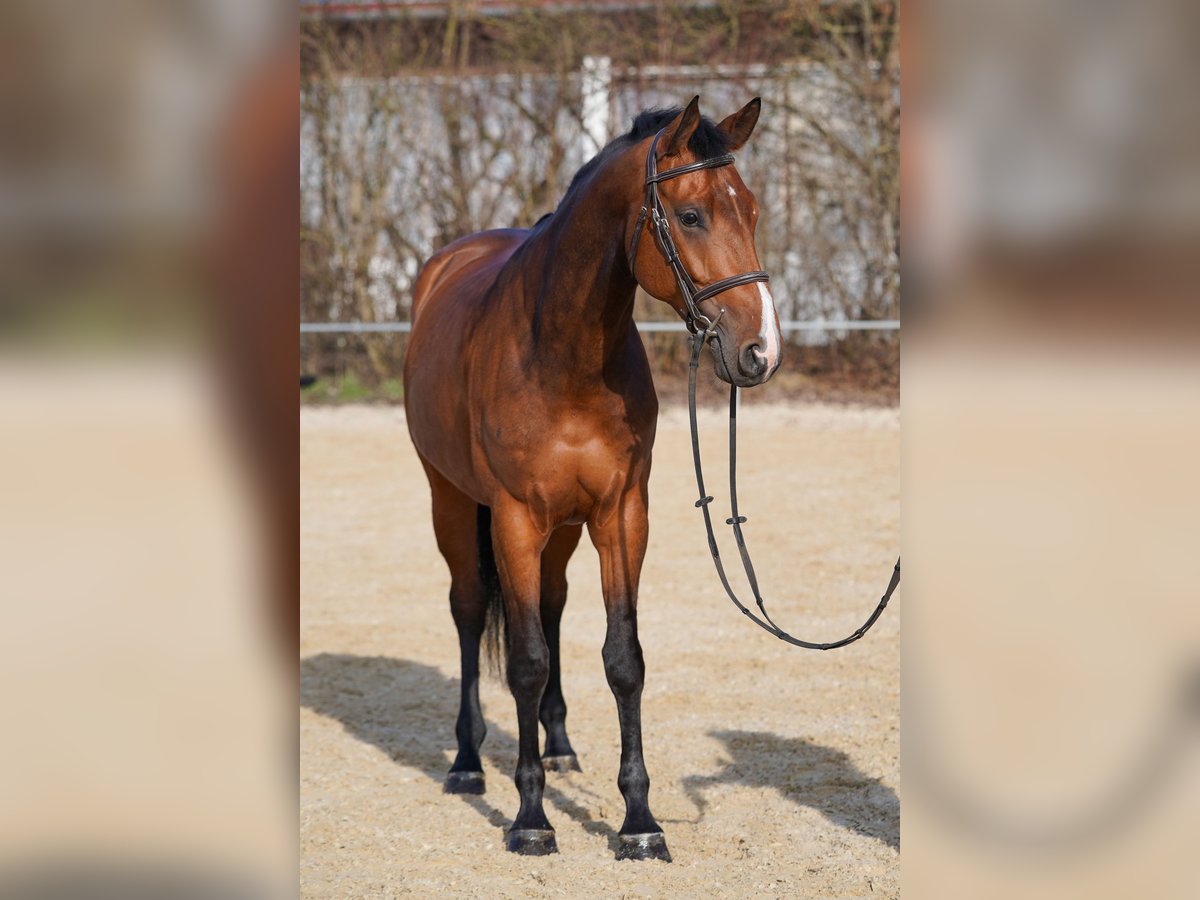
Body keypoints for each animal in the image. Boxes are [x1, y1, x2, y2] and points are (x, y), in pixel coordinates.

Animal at [403, 95, 777, 864]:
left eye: (751, 211)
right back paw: (467, 762)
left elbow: (622, 658)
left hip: (565, 529)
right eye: (690, 215)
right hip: (451, 501)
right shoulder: (515, 518)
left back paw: (559, 747)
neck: (561, 353)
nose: (759, 351)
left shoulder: (620, 515)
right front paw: (531, 820)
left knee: (550, 605)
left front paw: (638, 821)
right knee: (468, 610)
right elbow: (524, 661)